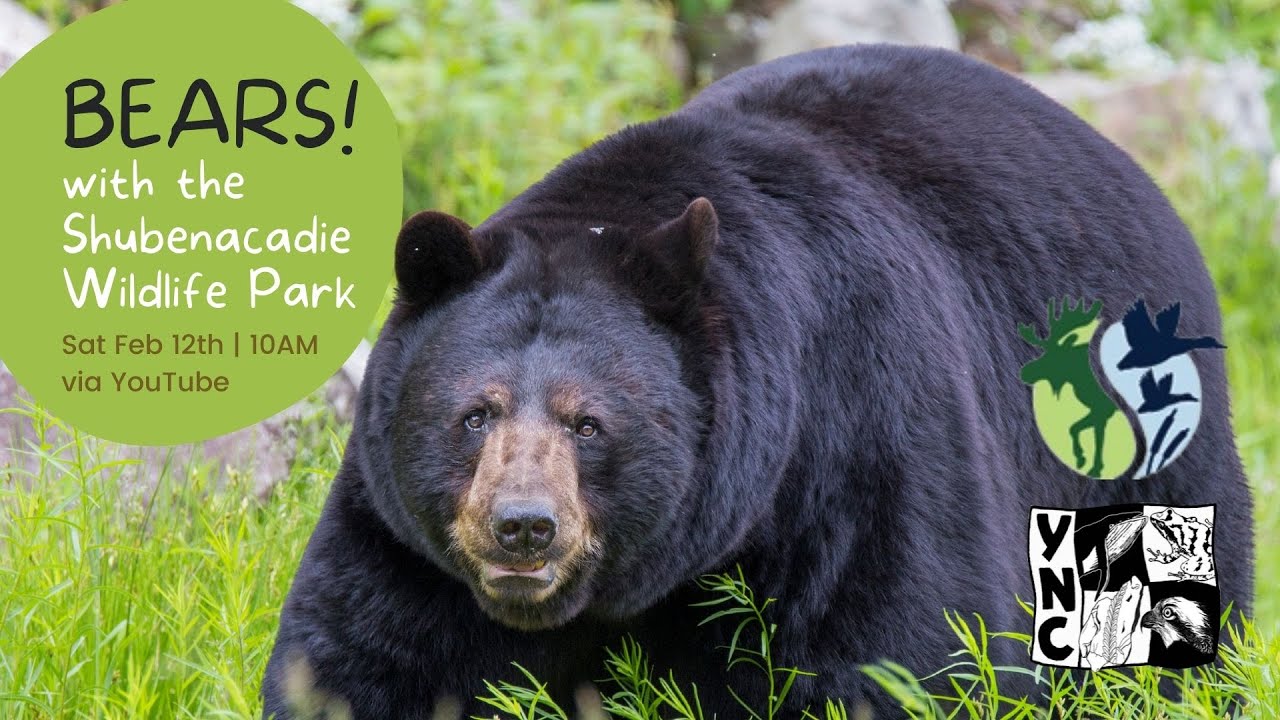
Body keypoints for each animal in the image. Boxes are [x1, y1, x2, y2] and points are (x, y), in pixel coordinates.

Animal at [262, 44, 1254, 719]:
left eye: (590, 424)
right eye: (475, 413)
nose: (523, 528)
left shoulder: (859, 445)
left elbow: (904, 646)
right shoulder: (407, 536)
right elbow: (365, 656)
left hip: (1144, 463)